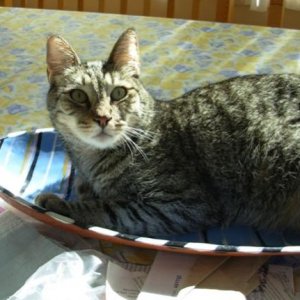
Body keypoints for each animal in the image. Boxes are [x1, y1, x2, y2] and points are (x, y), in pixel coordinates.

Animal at [35, 27, 300, 236]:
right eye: (78, 95)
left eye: (119, 93)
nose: (103, 117)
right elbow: (87, 191)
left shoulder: (181, 204)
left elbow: (108, 208)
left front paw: (59, 204)